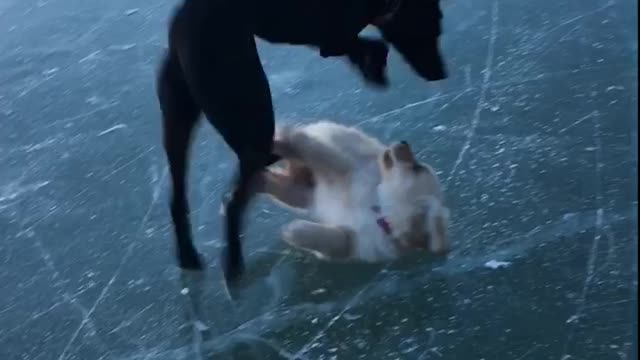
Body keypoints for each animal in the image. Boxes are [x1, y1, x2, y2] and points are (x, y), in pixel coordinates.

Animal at [256, 121, 450, 262]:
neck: (378, 211)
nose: (403, 142)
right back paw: (285, 139)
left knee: (283, 184)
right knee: (308, 147)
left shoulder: (353, 242)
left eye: (417, 168)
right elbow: (329, 161)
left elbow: (334, 239)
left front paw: (295, 231)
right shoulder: (346, 174)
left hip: (299, 193)